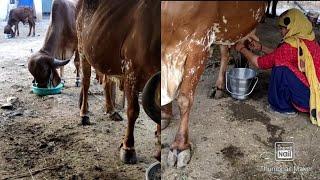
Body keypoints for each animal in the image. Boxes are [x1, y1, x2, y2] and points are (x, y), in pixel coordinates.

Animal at [75, 0, 160, 163]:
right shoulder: (131, 73)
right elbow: (133, 111)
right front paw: (128, 148)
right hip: (83, 50)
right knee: (86, 82)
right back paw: (84, 114)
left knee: (106, 82)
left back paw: (112, 110)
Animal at [161, 1, 266, 167]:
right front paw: (165, 115)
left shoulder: (198, 46)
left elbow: (184, 99)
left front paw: (180, 146)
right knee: (225, 52)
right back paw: (219, 86)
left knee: (245, 42)